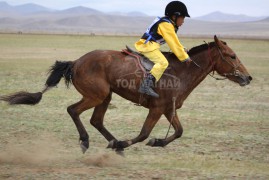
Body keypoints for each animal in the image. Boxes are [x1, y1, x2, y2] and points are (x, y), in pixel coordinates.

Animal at [0, 35, 251, 153]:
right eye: (231, 56)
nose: (248, 77)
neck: (181, 72)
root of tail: (76, 62)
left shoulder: (169, 109)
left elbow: (179, 132)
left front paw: (157, 142)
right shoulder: (157, 108)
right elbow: (143, 134)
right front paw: (130, 142)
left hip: (105, 96)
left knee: (96, 120)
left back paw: (113, 143)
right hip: (97, 95)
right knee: (73, 110)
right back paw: (90, 141)